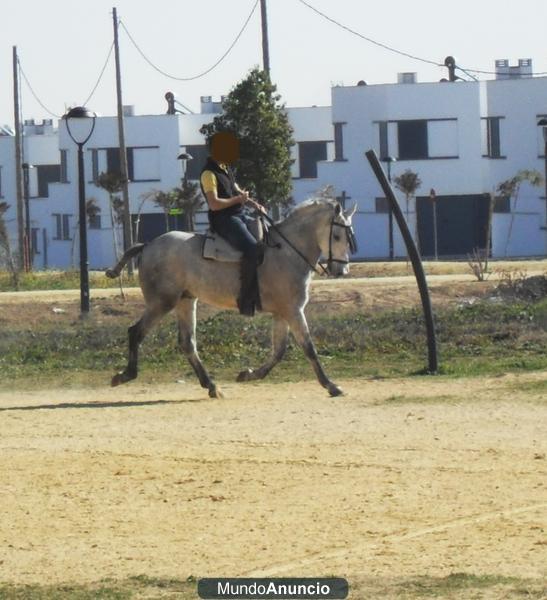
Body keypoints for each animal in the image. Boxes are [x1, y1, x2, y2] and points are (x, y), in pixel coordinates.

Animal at [105, 199, 358, 398]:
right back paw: (125, 375)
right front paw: (331, 385)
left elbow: (279, 350)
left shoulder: (283, 313)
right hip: (162, 303)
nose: (341, 271)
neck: (286, 251)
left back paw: (211, 386)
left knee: (187, 343)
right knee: (136, 332)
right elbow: (308, 348)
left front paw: (249, 374)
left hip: (186, 301)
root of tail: (148, 245)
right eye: (337, 236)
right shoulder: (294, 311)